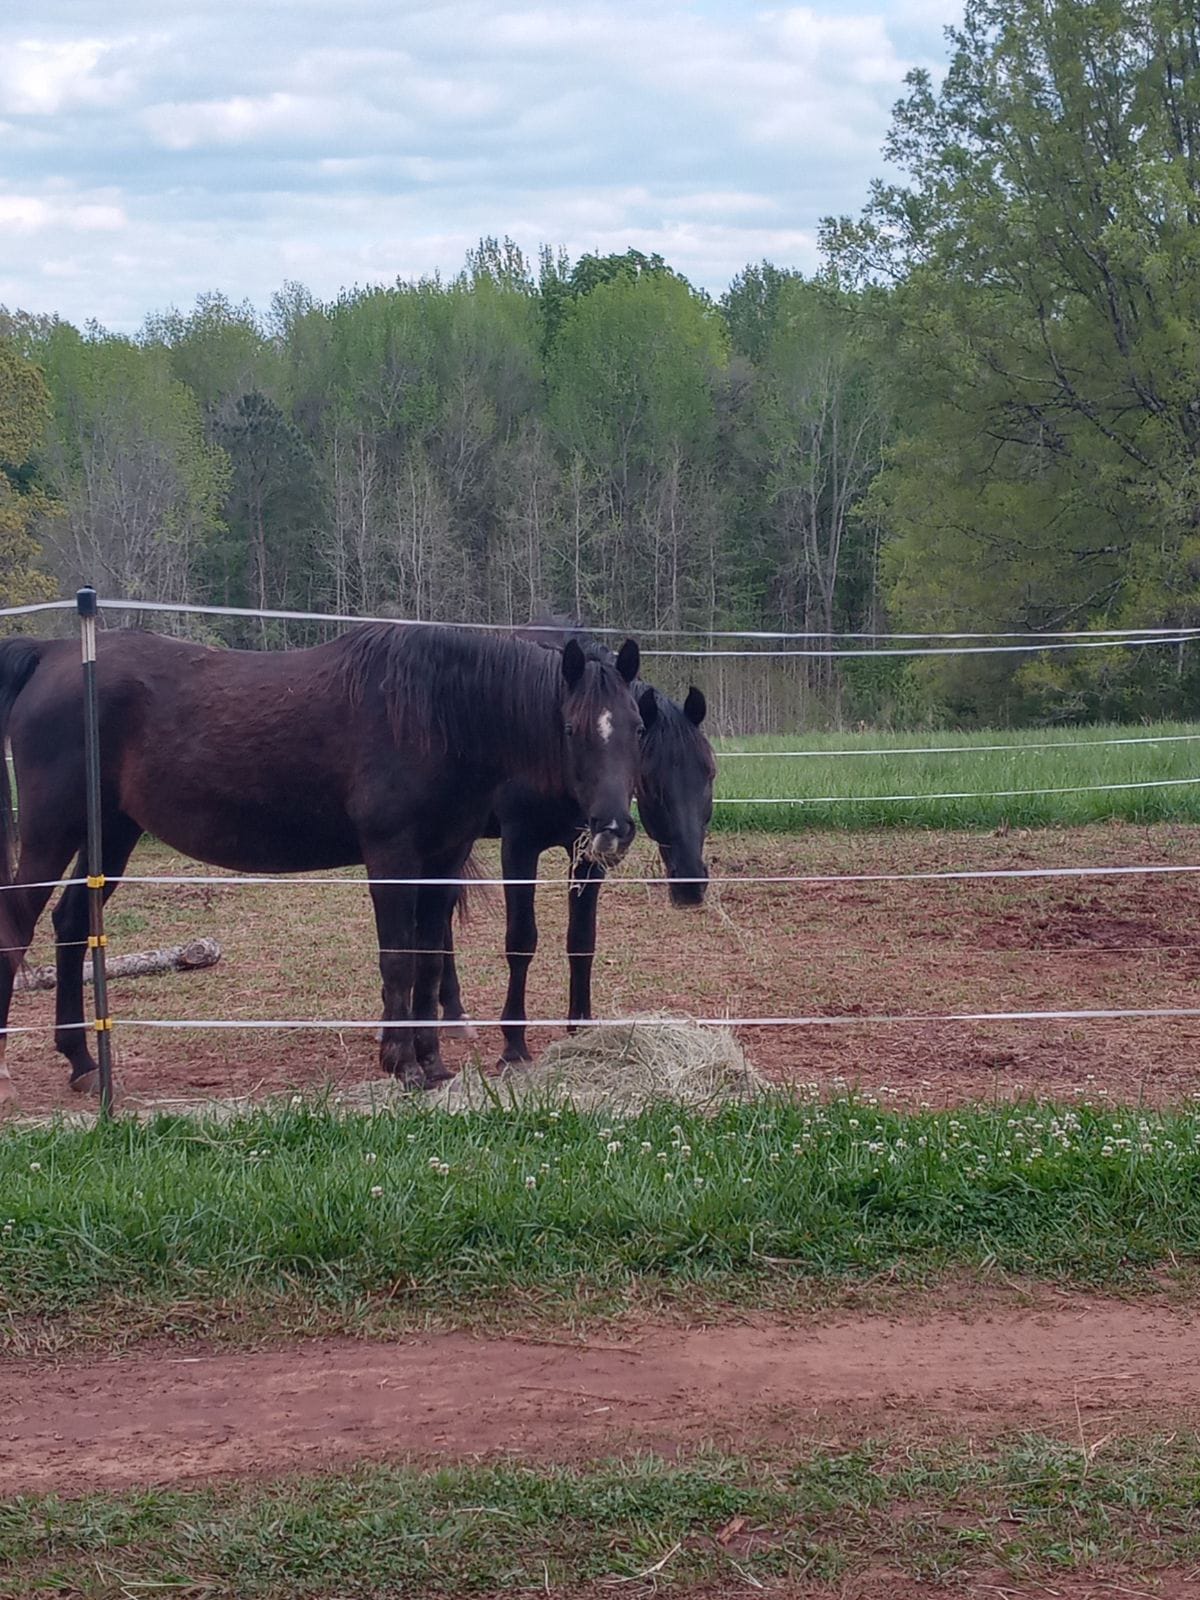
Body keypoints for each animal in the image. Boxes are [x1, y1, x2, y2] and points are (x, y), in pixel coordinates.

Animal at [0, 623, 644, 1107]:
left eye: (637, 726)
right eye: (571, 727)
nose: (612, 829)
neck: (432, 713)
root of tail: (53, 654)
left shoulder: (442, 860)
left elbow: (429, 960)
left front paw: (432, 1062)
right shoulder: (392, 859)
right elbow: (399, 960)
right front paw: (401, 1064)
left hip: (111, 834)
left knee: (69, 924)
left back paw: (83, 1060)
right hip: (52, 834)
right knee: (17, 926)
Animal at [436, 621, 716, 1064]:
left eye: (708, 774)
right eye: (653, 781)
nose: (690, 884)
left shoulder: (587, 853)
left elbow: (582, 939)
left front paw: (580, 1027)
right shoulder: (518, 847)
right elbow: (521, 940)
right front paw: (514, 1045)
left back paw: (452, 1011)